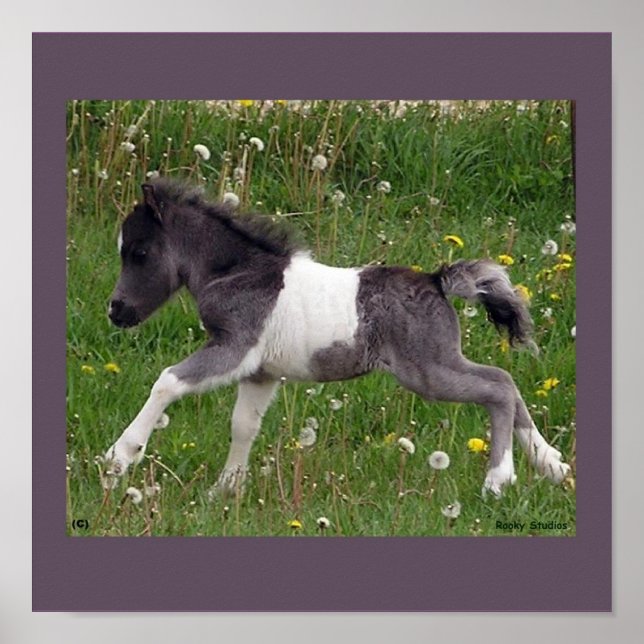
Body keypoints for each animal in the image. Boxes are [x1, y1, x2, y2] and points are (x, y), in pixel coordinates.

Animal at [103, 178, 571, 498]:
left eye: (139, 253)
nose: (116, 310)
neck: (239, 273)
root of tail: (437, 281)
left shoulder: (235, 347)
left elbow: (168, 381)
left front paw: (119, 457)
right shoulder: (260, 372)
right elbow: (244, 425)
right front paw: (226, 489)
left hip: (428, 371)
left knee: (499, 386)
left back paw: (499, 478)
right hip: (437, 365)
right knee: (506, 382)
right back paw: (552, 465)